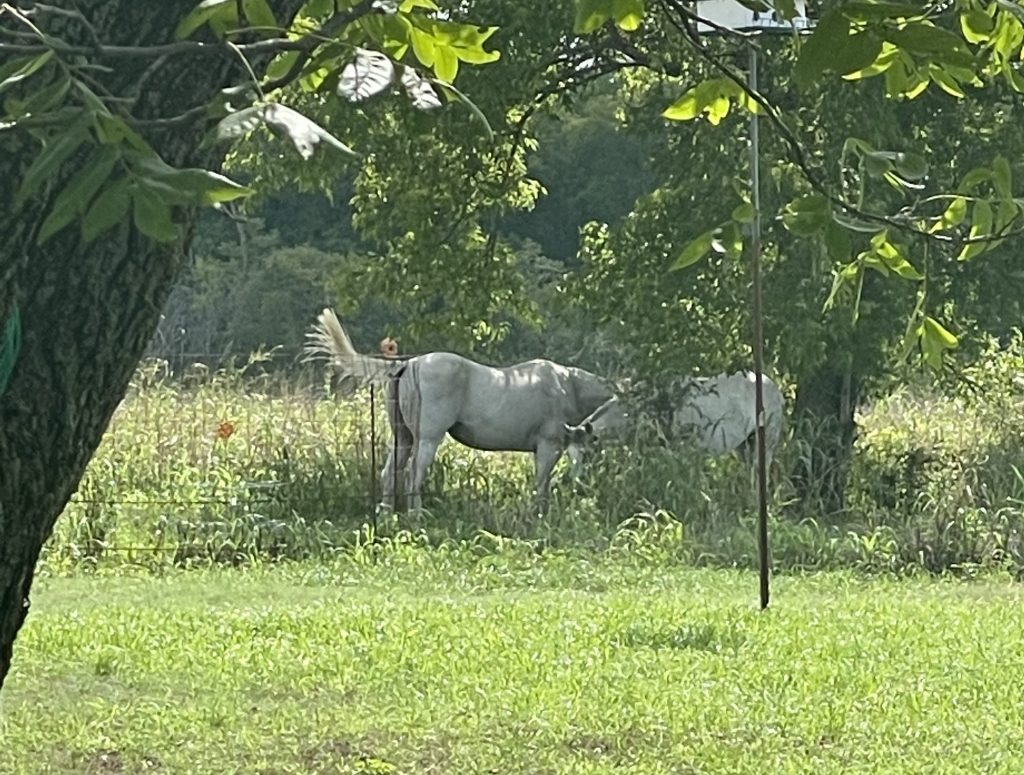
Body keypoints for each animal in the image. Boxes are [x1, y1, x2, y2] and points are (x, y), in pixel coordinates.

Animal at [304, 309, 616, 512]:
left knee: (390, 473)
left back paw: (388, 516)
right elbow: (541, 486)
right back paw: (417, 517)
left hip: (403, 438)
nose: (582, 487)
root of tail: (408, 364)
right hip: (428, 438)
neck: (565, 384)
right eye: (590, 448)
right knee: (414, 473)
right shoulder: (548, 447)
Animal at [564, 371, 785, 473]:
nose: (575, 484)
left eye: (585, 454)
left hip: (768, 439)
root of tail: (775, 387)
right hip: (744, 444)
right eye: (569, 454)